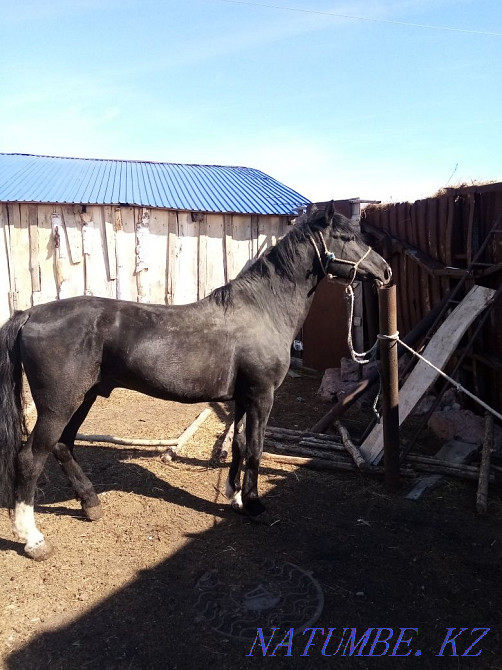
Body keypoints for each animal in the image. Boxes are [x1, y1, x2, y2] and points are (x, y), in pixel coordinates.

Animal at [0, 201, 392, 560]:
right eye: (346, 238)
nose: (385, 272)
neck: (263, 310)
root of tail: (28, 315)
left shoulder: (242, 398)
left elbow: (239, 444)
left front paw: (234, 497)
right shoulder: (262, 395)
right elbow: (255, 448)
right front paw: (253, 504)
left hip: (84, 398)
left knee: (63, 446)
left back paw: (91, 504)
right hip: (59, 405)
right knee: (31, 458)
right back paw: (33, 539)